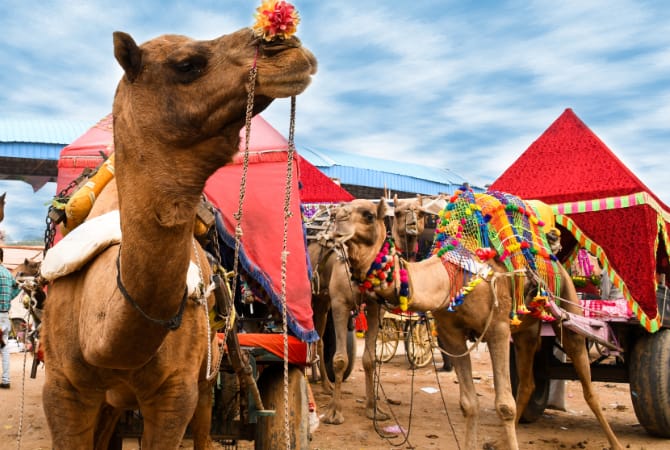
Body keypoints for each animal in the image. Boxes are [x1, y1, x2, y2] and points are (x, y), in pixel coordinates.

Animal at [40, 27, 316, 449]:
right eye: (187, 64)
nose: (285, 46)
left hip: (204, 376)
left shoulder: (175, 394)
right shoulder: (62, 388)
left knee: (204, 424)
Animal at [330, 196, 624, 450]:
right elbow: (468, 403)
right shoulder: (452, 337)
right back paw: (499, 442)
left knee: (588, 387)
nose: (335, 220)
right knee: (528, 381)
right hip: (526, 330)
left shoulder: (497, 330)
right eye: (400, 212)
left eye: (368, 214)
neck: (451, 276)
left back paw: (616, 443)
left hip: (567, 307)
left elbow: (504, 405)